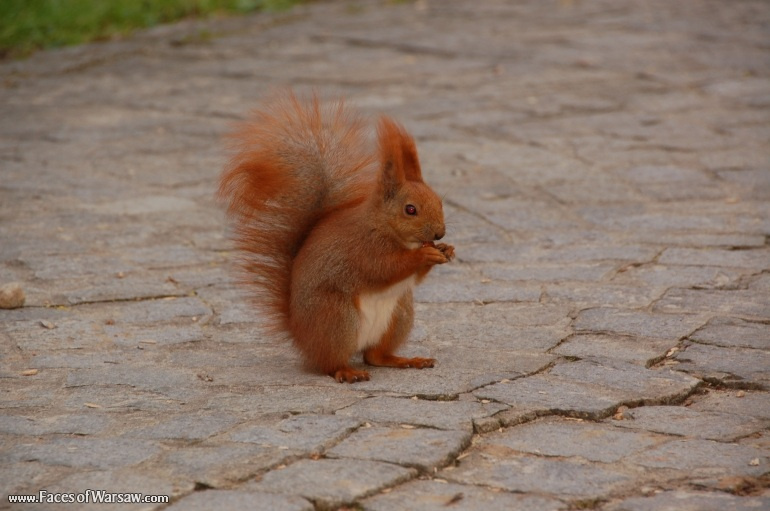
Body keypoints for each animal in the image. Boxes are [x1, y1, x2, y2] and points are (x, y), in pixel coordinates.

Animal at [218, 92, 454, 383]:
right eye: (410, 209)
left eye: (439, 201)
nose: (440, 233)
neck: (385, 227)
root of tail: (301, 337)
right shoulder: (364, 248)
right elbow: (384, 268)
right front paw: (424, 254)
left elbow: (415, 278)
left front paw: (446, 249)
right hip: (337, 318)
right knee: (330, 363)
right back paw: (347, 371)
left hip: (400, 313)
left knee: (375, 356)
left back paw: (406, 360)